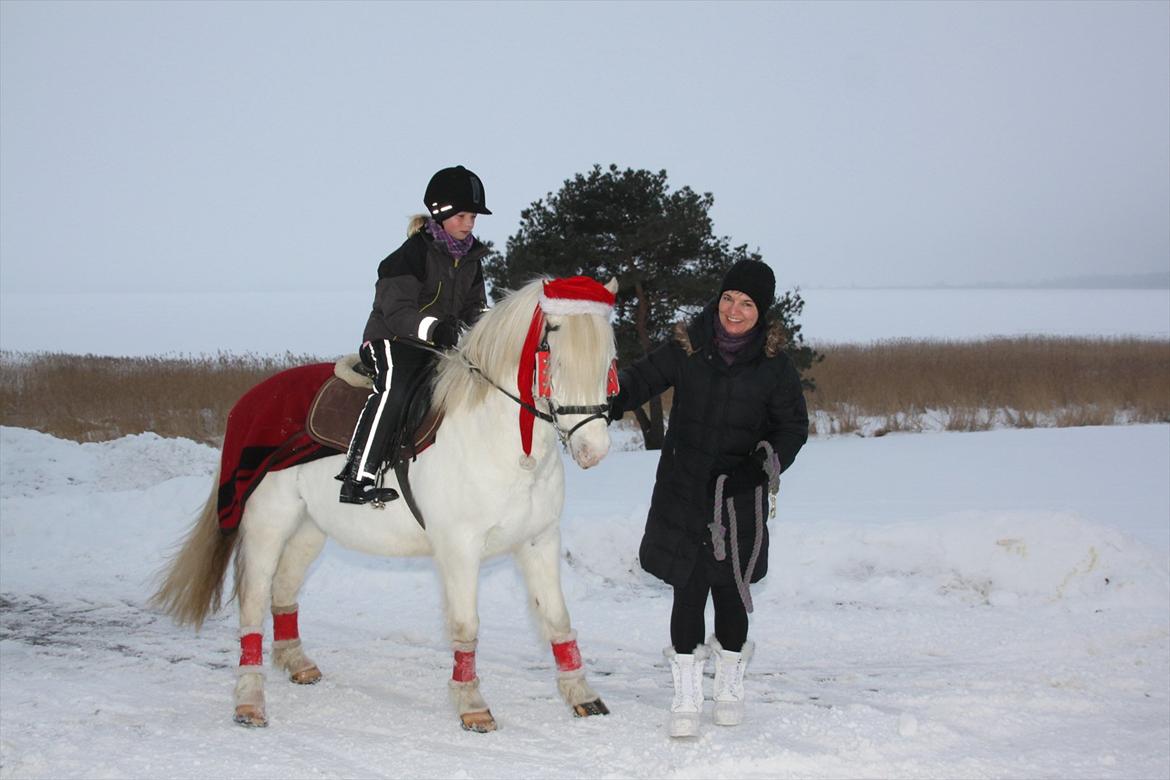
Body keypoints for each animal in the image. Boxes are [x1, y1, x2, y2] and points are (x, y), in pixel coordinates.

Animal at [155, 275, 622, 734]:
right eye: (553, 356)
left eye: (608, 361)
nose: (593, 450)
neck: (501, 443)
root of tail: (248, 402)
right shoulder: (459, 549)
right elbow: (465, 625)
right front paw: (471, 704)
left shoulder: (538, 540)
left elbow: (557, 618)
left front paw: (582, 695)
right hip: (268, 522)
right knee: (253, 600)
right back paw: (249, 701)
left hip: (309, 529)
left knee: (283, 590)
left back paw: (297, 662)